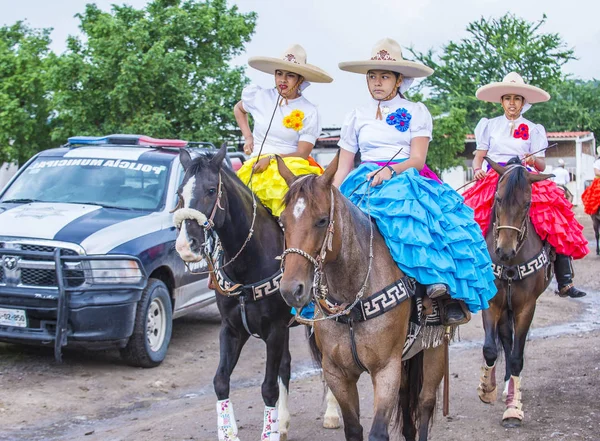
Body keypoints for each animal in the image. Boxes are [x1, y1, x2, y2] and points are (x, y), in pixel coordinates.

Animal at [173, 144, 340, 440]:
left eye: (211, 190)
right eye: (180, 193)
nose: (185, 245)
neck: (248, 264)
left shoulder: (274, 330)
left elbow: (268, 388)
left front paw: (268, 432)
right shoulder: (232, 329)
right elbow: (221, 380)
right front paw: (229, 431)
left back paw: (331, 413)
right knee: (286, 365)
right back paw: (282, 422)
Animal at [276, 154, 446, 440]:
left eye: (322, 220)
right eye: (283, 221)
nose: (291, 289)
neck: (353, 302)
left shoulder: (386, 369)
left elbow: (378, 432)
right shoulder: (337, 373)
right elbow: (354, 428)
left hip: (435, 345)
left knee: (425, 403)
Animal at [476, 156, 556, 426]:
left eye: (528, 203)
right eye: (498, 198)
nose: (505, 250)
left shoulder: (526, 307)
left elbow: (517, 356)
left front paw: (513, 408)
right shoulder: (492, 303)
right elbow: (491, 348)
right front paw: (486, 389)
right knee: (504, 340)